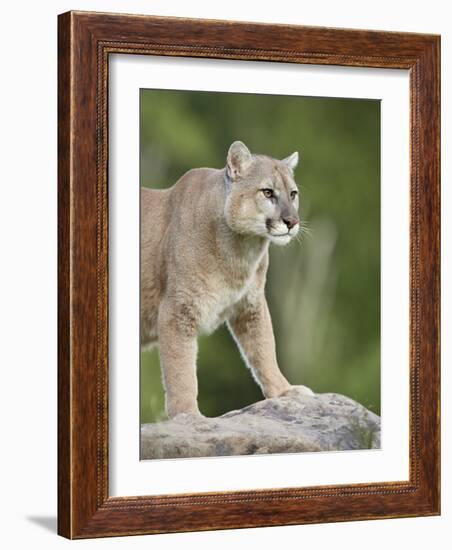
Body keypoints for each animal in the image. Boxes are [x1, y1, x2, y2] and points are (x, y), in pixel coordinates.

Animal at [142, 140, 314, 420]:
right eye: (268, 192)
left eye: (293, 194)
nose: (292, 221)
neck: (242, 248)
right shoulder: (177, 311)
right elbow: (181, 372)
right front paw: (188, 415)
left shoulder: (250, 305)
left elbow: (264, 349)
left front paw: (284, 391)